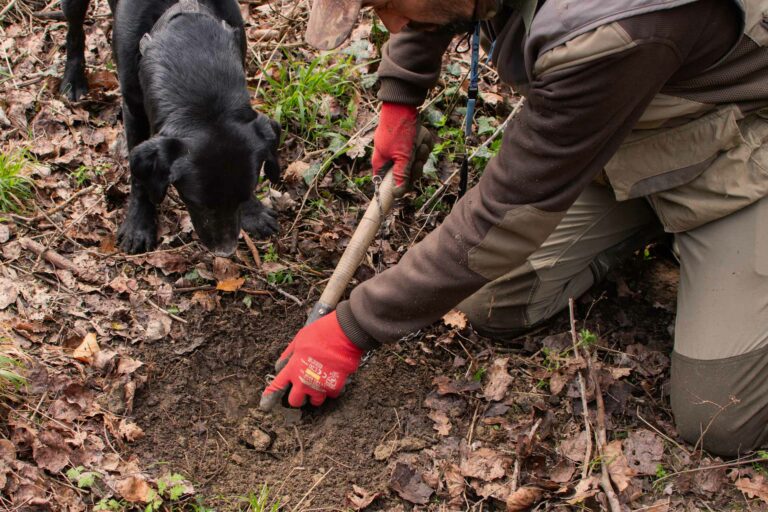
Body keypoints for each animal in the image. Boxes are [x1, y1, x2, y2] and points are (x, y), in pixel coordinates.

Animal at [60, 0, 282, 255]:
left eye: (243, 196)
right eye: (196, 201)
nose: (226, 251)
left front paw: (253, 212)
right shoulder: (133, 109)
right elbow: (139, 179)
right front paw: (139, 225)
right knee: (74, 31)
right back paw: (73, 79)